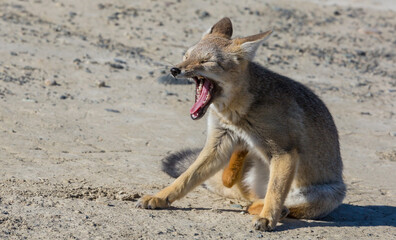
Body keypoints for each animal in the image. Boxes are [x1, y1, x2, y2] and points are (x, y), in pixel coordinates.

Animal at [137, 17, 346, 232]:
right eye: (186, 56)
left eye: (206, 61)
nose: (174, 70)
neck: (237, 115)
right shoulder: (219, 141)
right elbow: (185, 179)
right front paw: (160, 197)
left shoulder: (285, 152)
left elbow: (275, 194)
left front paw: (267, 218)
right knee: (240, 189)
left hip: (324, 194)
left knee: (275, 203)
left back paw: (268, 209)